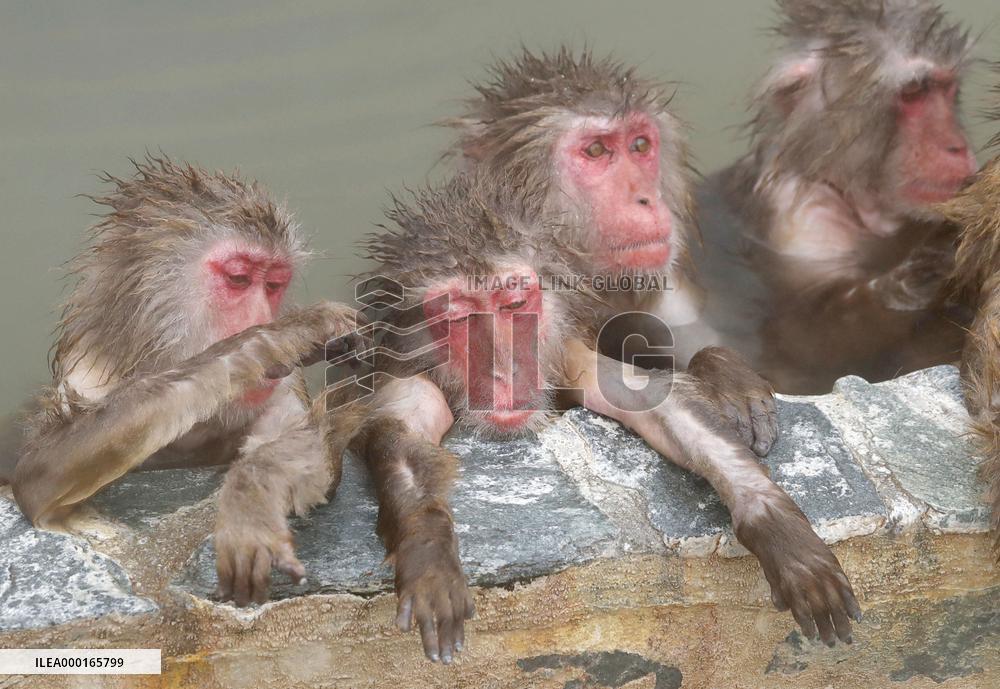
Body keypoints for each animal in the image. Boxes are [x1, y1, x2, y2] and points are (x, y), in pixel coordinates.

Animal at [8, 156, 362, 606]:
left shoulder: (285, 382)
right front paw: (263, 342)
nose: (263, 316)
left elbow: (310, 447)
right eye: (239, 279)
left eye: (274, 284)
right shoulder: (86, 375)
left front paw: (251, 497)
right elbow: (37, 474)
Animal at [351, 172, 861, 664]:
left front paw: (778, 530)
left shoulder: (570, 356)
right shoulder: (406, 377)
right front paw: (428, 553)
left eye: (514, 306)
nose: (502, 370)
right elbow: (403, 440)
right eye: (459, 319)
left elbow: (651, 401)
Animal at [686, 0, 979, 393]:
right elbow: (808, 347)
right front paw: (925, 273)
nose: (957, 147)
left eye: (947, 89)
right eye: (914, 92)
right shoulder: (803, 224)